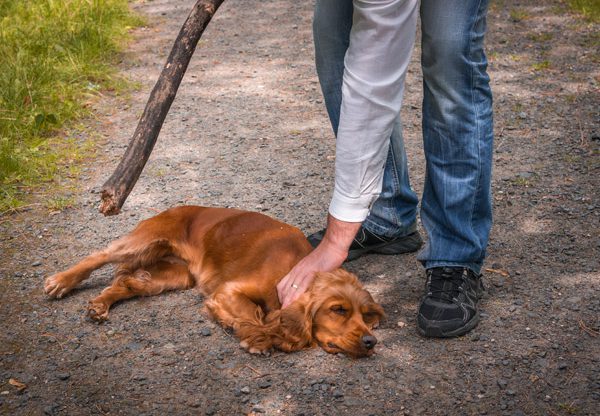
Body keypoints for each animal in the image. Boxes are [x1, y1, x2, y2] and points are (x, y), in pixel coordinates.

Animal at [43, 206, 384, 356]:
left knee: (127, 283)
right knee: (98, 255)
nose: (371, 342)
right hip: (144, 239)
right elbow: (254, 316)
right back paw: (61, 281)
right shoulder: (228, 290)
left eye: (365, 316)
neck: (294, 268)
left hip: (173, 276)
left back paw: (99, 305)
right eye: (338, 309)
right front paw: (258, 337)